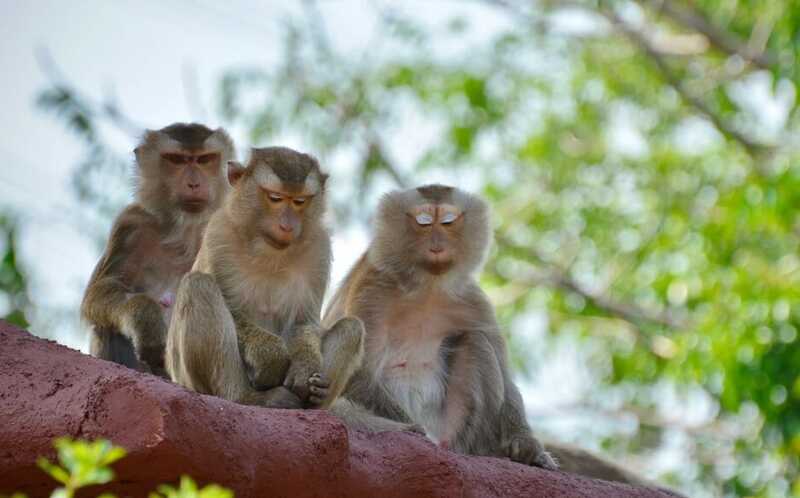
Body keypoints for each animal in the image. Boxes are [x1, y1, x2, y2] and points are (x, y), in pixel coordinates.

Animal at [82, 123, 236, 378]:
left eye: (205, 159)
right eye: (176, 160)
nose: (194, 184)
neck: (187, 229)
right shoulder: (131, 225)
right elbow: (100, 290)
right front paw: (145, 317)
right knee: (107, 326)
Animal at [167, 147, 368, 408]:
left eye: (299, 201)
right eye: (275, 198)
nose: (287, 225)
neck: (268, 249)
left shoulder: (319, 249)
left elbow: (304, 321)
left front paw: (305, 367)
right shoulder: (219, 233)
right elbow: (233, 309)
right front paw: (270, 357)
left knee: (352, 328)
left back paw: (313, 401)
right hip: (189, 381)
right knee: (198, 286)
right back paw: (246, 397)